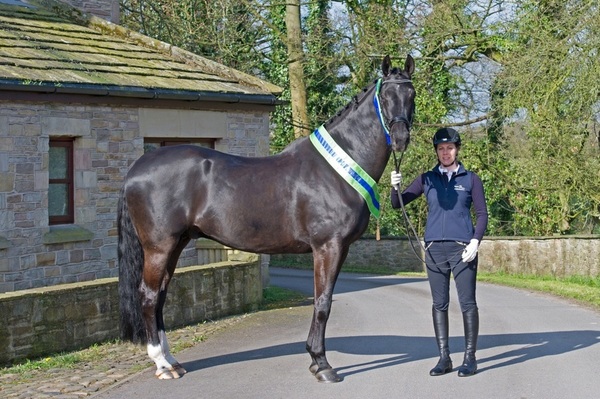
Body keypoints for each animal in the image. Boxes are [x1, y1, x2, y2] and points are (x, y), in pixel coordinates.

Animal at [119, 54, 414, 382]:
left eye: (411, 95)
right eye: (385, 97)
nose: (400, 139)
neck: (336, 170)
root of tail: (137, 169)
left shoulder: (340, 248)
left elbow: (321, 300)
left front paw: (314, 359)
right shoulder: (328, 247)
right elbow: (323, 302)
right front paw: (322, 364)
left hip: (177, 243)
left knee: (160, 295)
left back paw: (172, 361)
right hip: (159, 247)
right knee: (148, 295)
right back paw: (161, 363)